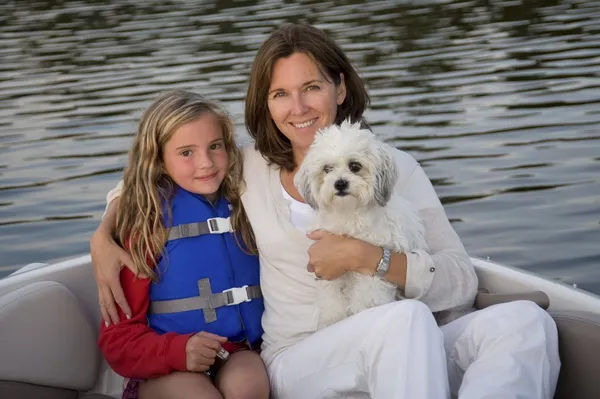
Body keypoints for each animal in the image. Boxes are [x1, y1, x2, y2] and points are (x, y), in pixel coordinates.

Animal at [294, 119, 426, 332]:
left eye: (355, 166)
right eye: (327, 169)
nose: (340, 183)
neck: (349, 212)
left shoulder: (371, 263)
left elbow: (368, 293)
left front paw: (364, 311)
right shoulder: (328, 269)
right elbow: (331, 297)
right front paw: (332, 318)